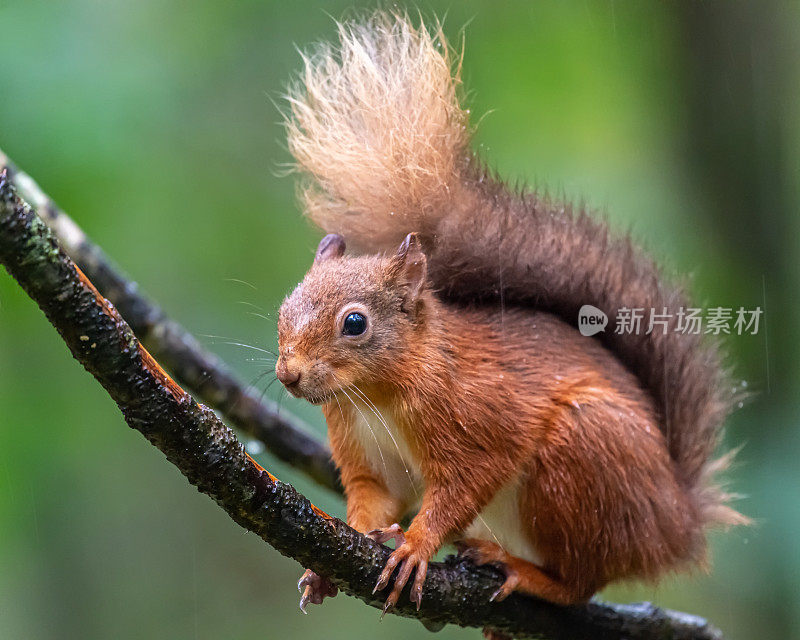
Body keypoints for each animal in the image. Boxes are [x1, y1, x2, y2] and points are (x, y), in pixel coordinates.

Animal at [274, 11, 744, 620]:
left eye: (355, 324)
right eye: (283, 309)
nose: (288, 374)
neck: (375, 396)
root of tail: (677, 523)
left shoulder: (479, 418)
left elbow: (464, 485)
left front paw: (416, 546)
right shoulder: (367, 457)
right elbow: (373, 502)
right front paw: (329, 563)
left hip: (580, 457)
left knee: (582, 582)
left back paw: (522, 571)